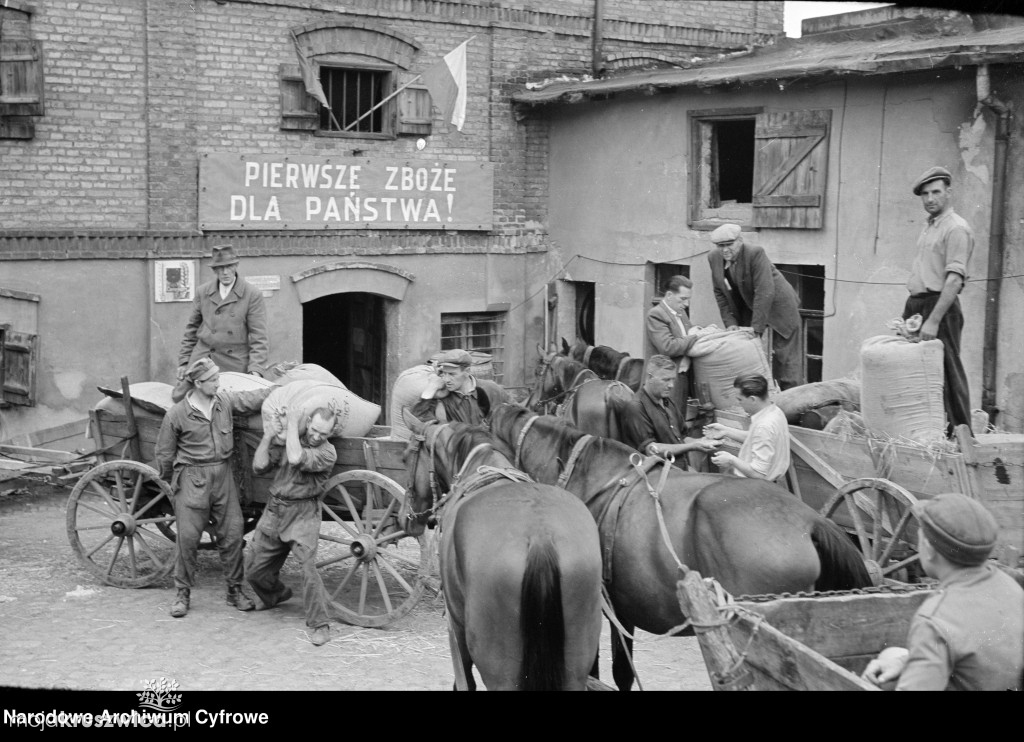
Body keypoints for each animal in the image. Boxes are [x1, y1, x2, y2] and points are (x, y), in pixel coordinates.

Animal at [399, 413, 606, 691]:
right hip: (575, 667)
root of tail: (539, 535)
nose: (404, 517)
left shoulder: (457, 624)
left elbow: (464, 680)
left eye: (405, 457)